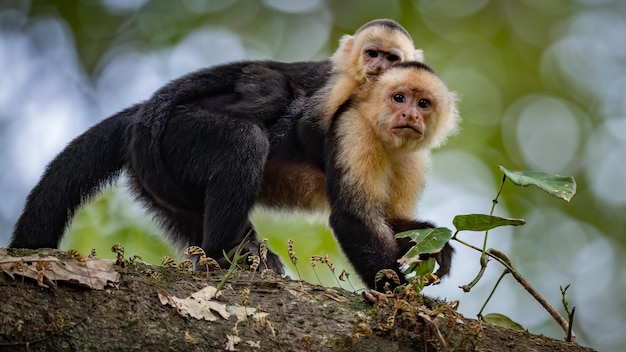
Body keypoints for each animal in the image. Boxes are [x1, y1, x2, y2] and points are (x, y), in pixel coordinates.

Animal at [11, 18, 428, 284]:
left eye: (391, 58)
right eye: (372, 54)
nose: (377, 68)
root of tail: (137, 119)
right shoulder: (339, 93)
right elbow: (313, 135)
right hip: (181, 134)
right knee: (249, 133)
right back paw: (223, 253)